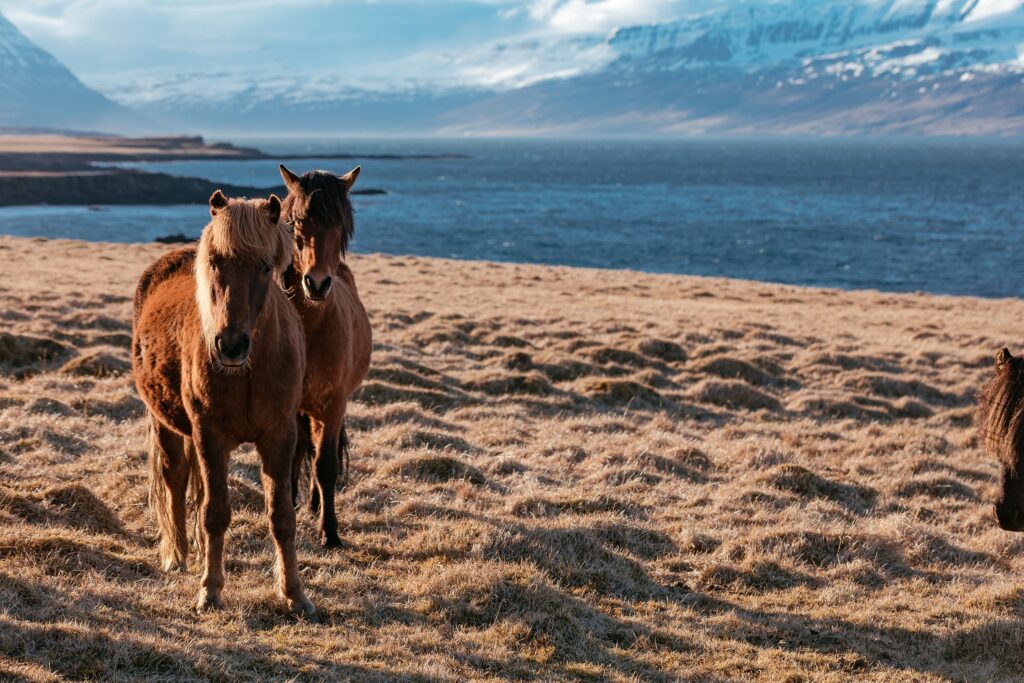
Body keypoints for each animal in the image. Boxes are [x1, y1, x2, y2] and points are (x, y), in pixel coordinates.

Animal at [131, 190, 315, 617]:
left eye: (265, 266)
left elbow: (282, 516)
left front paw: (295, 594)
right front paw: (210, 591)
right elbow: (214, 514)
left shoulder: (280, 436)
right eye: (215, 261)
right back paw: (178, 556)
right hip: (165, 423)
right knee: (174, 477)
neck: (248, 372)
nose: (230, 345)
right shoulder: (210, 435)